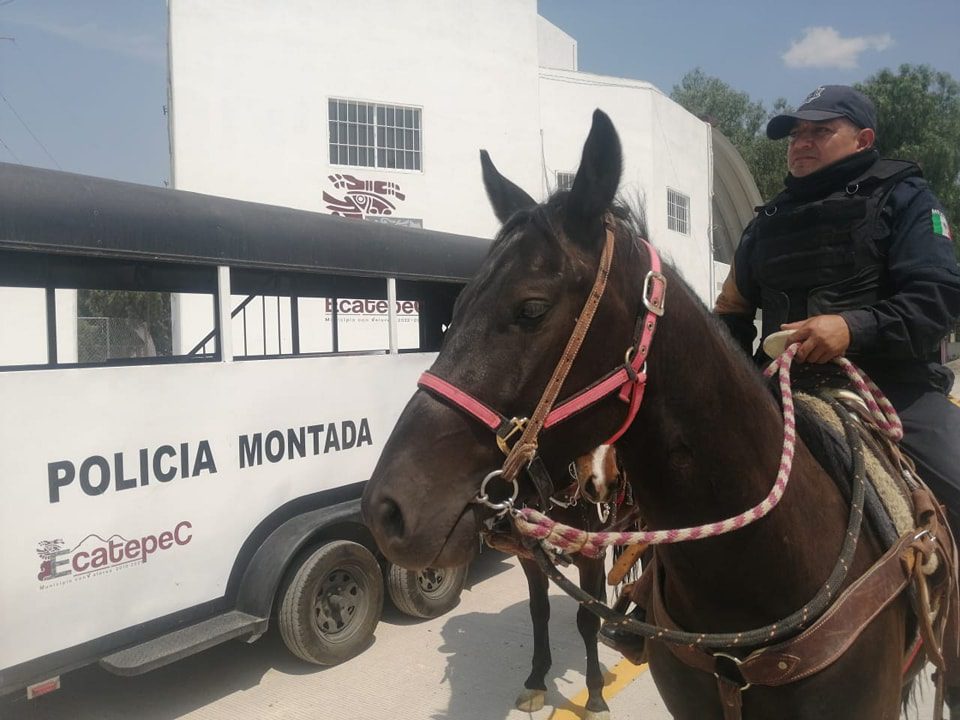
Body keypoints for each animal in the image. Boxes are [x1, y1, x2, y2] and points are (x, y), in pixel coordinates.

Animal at [360, 109, 928, 716]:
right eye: (455, 306)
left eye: (532, 308)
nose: (387, 510)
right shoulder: (534, 553)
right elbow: (541, 610)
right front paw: (537, 680)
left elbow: (586, 617)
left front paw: (593, 693)